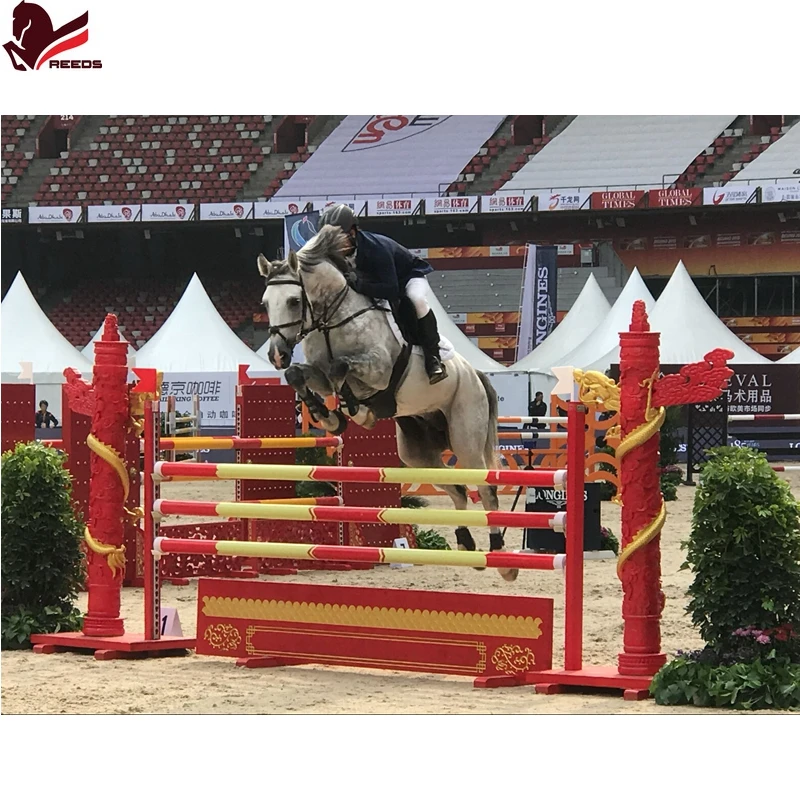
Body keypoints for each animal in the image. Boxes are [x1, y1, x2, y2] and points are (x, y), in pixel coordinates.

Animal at [257, 224, 519, 581]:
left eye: (295, 301)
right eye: (265, 303)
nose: (276, 355)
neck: (333, 319)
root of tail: (476, 373)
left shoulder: (377, 369)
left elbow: (342, 368)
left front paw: (353, 409)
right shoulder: (318, 374)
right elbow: (300, 375)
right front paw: (328, 416)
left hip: (466, 436)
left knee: (486, 490)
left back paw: (501, 560)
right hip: (417, 451)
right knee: (457, 489)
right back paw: (467, 545)